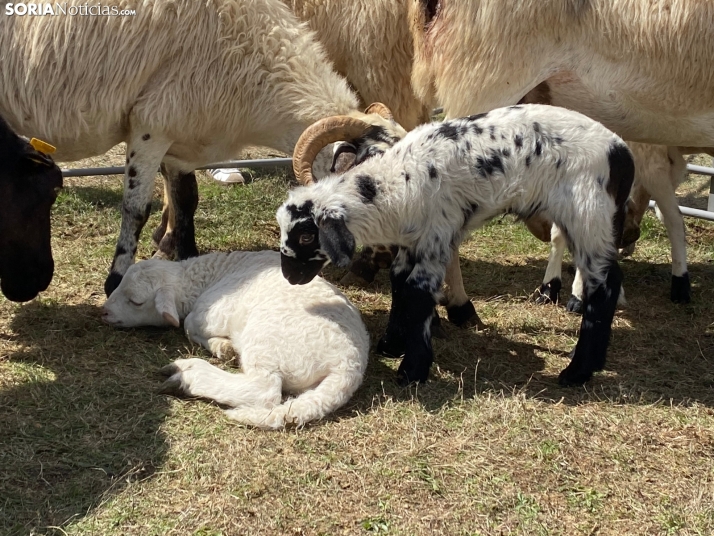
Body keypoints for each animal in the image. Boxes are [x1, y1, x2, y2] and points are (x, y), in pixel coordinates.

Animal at [100, 249, 368, 430]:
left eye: (135, 302)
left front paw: (219, 345)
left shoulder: (211, 312)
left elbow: (188, 325)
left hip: (265, 340)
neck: (211, 275)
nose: (104, 312)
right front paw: (224, 347)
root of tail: (349, 364)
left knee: (264, 390)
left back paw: (187, 374)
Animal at [276, 103, 632, 386]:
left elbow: (417, 292)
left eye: (307, 235)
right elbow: (398, 282)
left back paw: (577, 372)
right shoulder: (412, 241)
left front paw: (412, 370)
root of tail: (621, 152)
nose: (289, 276)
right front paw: (392, 344)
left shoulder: (436, 236)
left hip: (586, 211)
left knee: (605, 283)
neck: (396, 182)